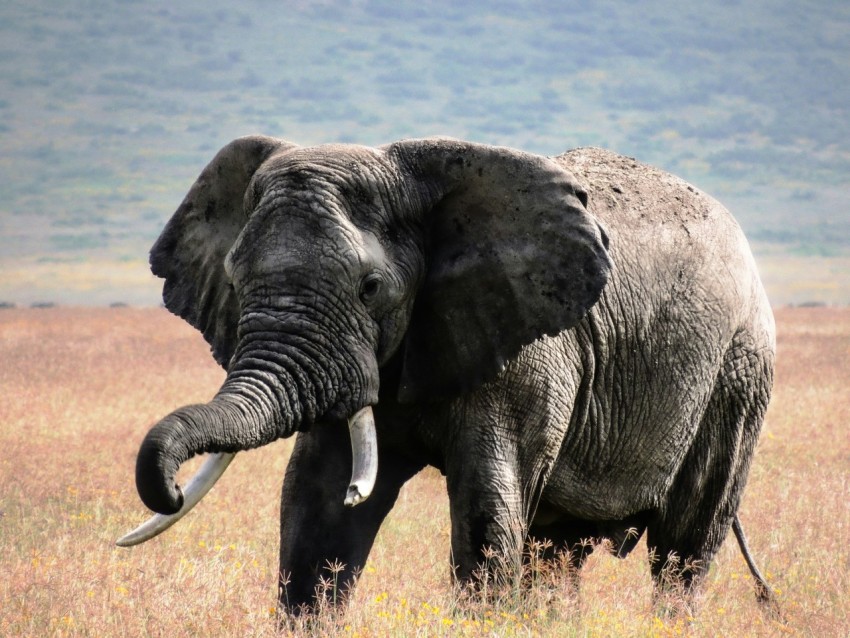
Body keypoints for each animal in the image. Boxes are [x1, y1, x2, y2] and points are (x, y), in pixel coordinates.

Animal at [117, 134, 776, 616]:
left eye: (371, 287)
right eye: (233, 278)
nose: (171, 488)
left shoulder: (527, 355)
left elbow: (487, 518)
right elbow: (317, 513)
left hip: (738, 373)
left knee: (684, 551)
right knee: (558, 553)